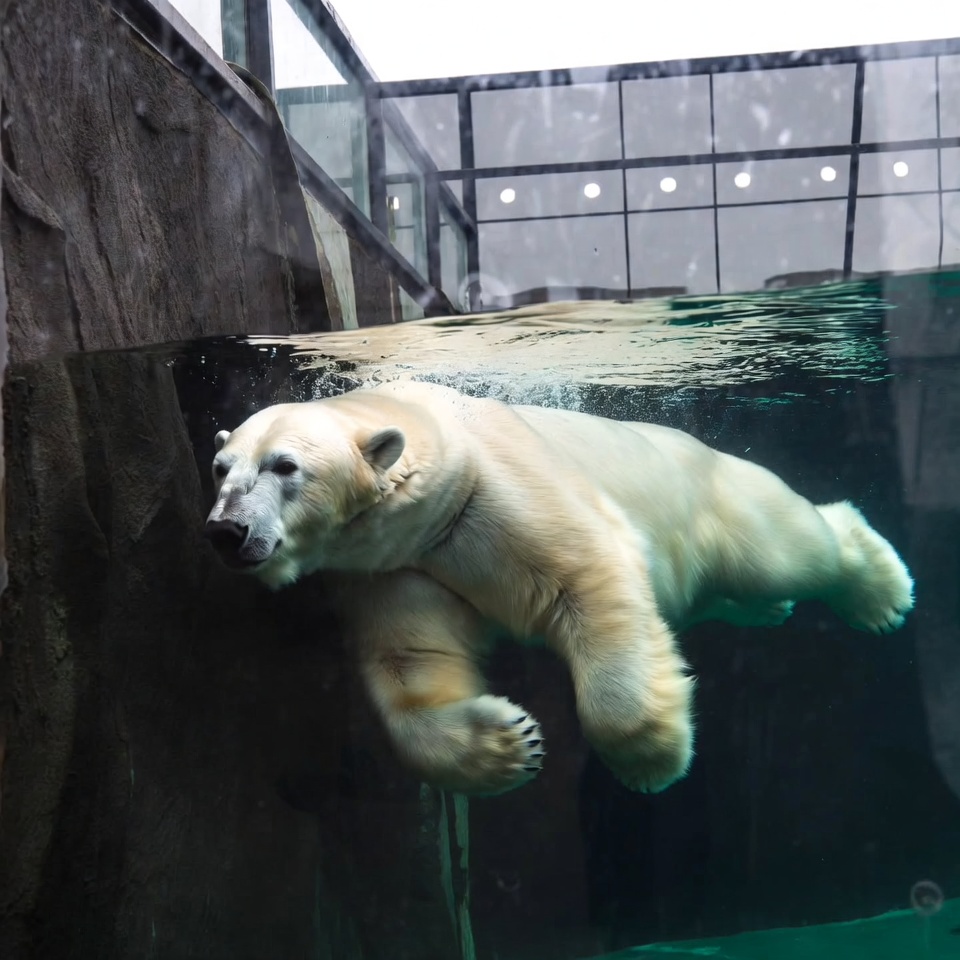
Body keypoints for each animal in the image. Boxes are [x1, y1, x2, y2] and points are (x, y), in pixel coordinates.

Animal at [204, 380, 914, 797]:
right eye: (219, 467)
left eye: (285, 466)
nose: (227, 531)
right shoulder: (396, 566)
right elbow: (410, 660)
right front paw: (509, 745)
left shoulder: (493, 492)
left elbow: (590, 577)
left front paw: (650, 759)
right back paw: (775, 610)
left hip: (713, 499)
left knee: (784, 548)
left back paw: (878, 590)